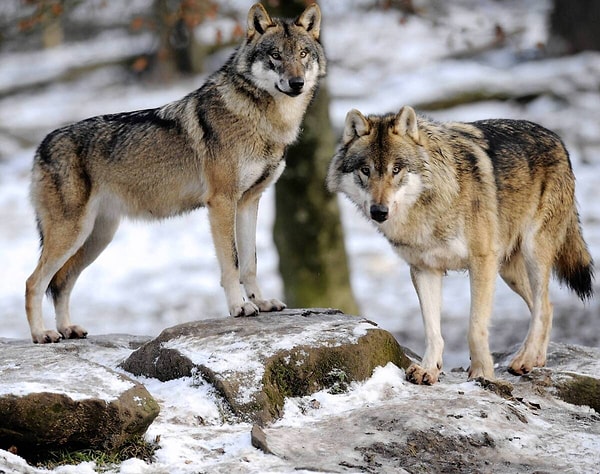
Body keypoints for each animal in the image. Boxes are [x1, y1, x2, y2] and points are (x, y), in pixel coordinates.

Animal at [25, 3, 326, 344]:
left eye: (302, 53)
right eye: (275, 54)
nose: (296, 83)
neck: (264, 121)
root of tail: (42, 146)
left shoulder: (250, 202)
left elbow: (251, 262)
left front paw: (261, 302)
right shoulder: (222, 203)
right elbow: (232, 263)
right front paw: (239, 308)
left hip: (95, 238)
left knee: (62, 282)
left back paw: (67, 329)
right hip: (72, 234)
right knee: (34, 282)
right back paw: (42, 334)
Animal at [328, 105, 596, 384]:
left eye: (396, 169)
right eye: (365, 170)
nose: (379, 211)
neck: (428, 209)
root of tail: (557, 139)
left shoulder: (482, 262)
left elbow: (475, 327)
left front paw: (482, 373)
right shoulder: (425, 269)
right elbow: (432, 329)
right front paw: (428, 369)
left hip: (532, 253)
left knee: (542, 307)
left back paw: (524, 359)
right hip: (508, 271)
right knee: (547, 306)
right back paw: (536, 359)